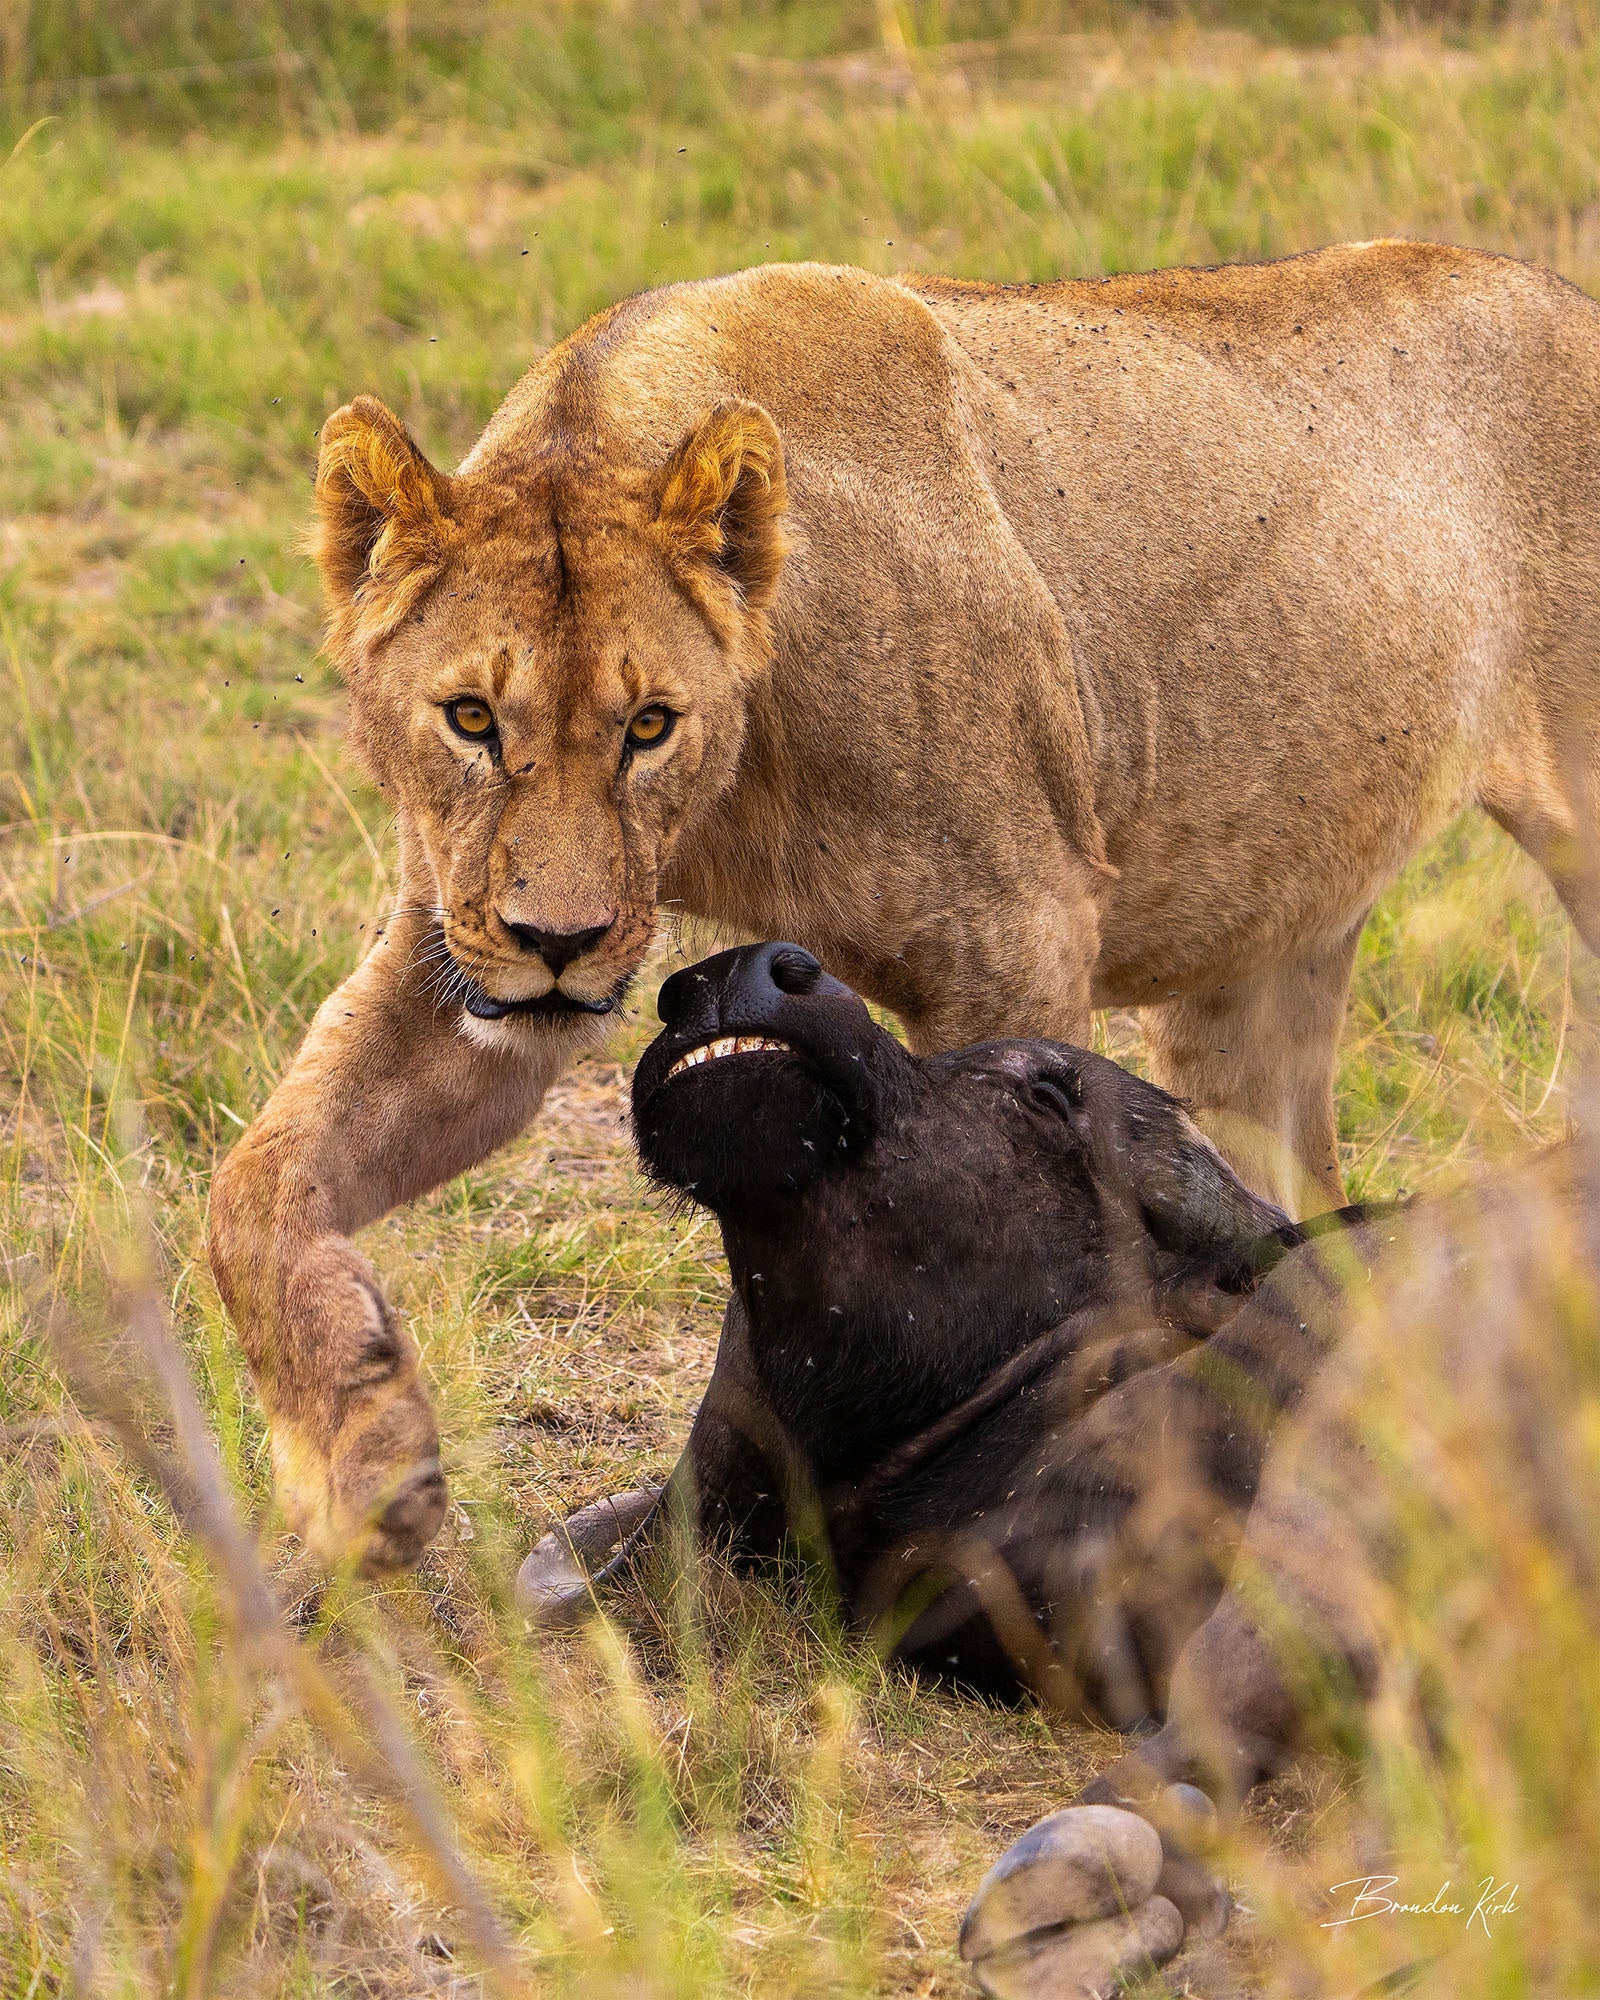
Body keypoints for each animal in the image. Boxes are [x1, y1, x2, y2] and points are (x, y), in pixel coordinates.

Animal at [208, 241, 1600, 1570]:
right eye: (470, 719)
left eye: (648, 725)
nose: (562, 942)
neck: (729, 792)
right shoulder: (461, 954)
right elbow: (255, 1182)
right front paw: (362, 1455)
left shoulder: (1022, 936)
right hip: (1258, 960)